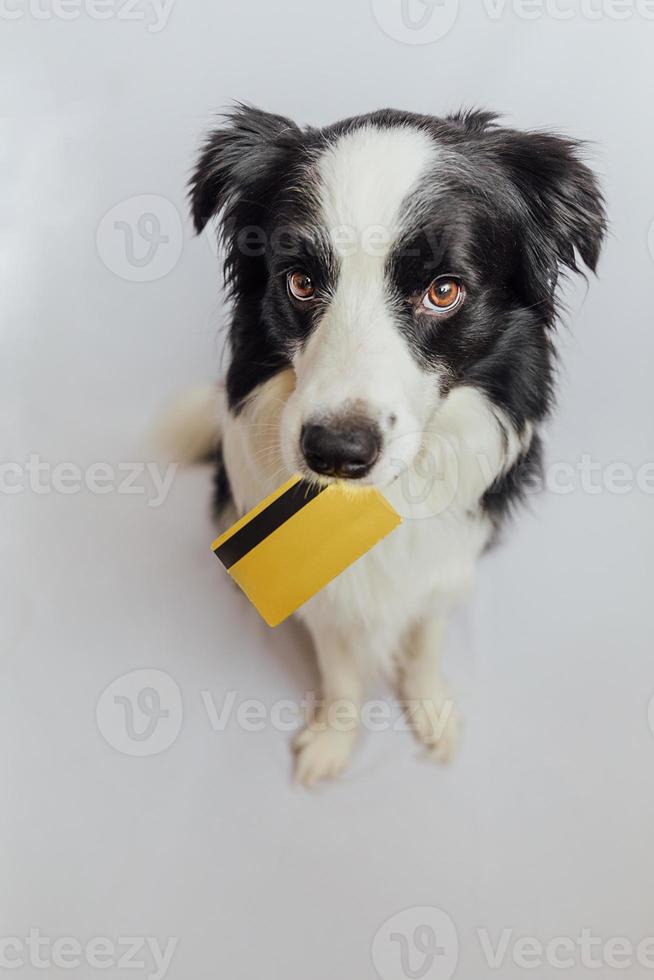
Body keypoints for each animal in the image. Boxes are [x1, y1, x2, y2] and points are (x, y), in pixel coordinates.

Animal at [182, 103, 608, 784]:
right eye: (300, 282)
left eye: (443, 290)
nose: (335, 452)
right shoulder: (325, 594)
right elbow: (340, 668)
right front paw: (334, 739)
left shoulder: (447, 561)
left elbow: (426, 639)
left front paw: (430, 712)